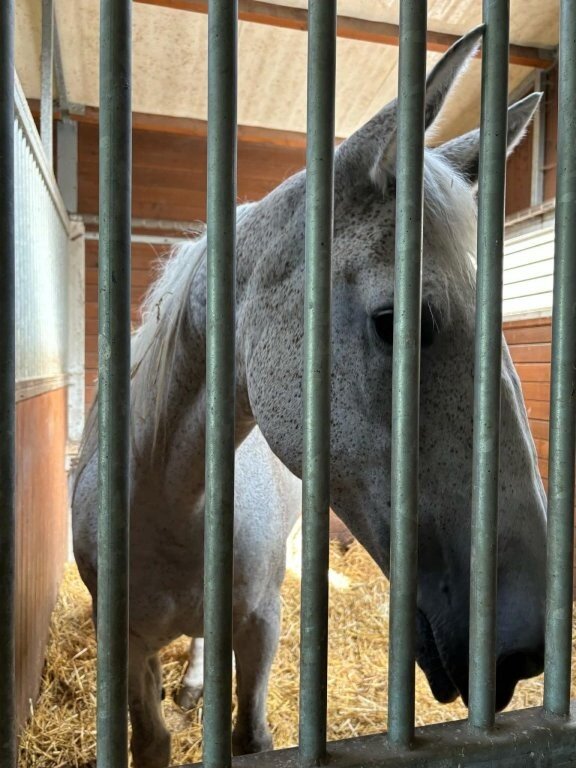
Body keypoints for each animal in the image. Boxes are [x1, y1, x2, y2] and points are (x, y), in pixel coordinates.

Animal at [72, 27, 547, 768]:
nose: (526, 651)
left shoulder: (260, 625)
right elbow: (148, 741)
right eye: (395, 322)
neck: (167, 504)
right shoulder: (123, 641)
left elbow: (250, 736)